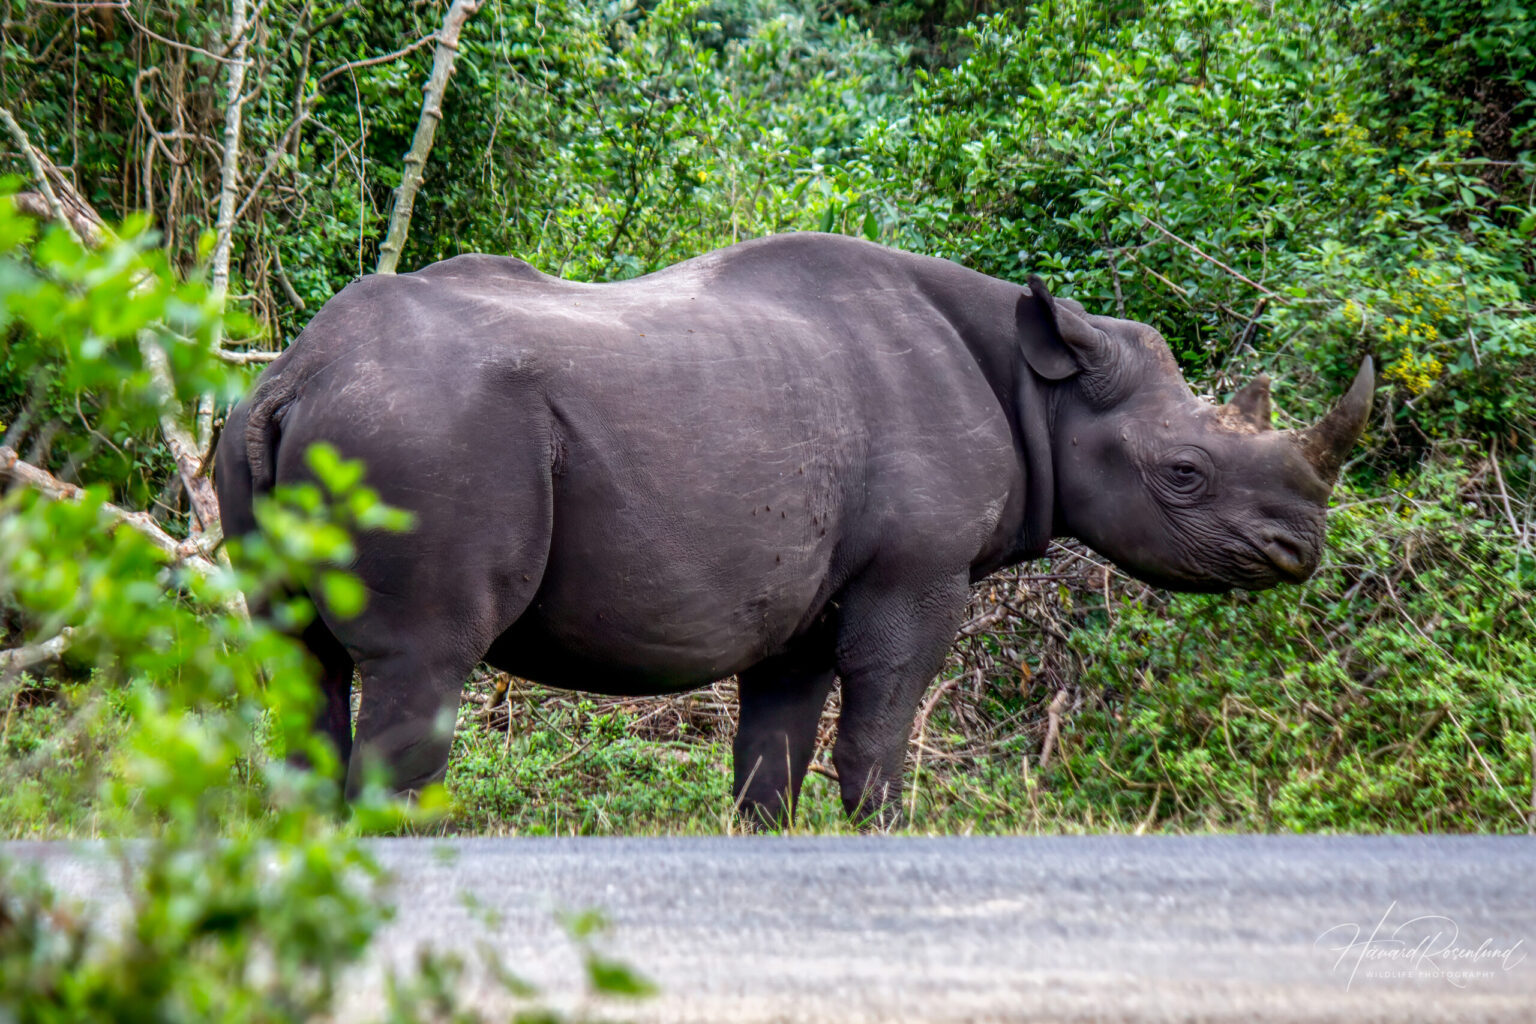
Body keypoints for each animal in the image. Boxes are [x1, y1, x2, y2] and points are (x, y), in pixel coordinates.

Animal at [216, 233, 1372, 827]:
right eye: (1185, 473)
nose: (1299, 551)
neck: (1042, 390)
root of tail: (299, 374)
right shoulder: (917, 571)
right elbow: (881, 724)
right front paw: (888, 837)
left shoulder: (803, 595)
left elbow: (774, 749)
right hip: (422, 432)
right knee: (424, 660)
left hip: (268, 430)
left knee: (303, 657)